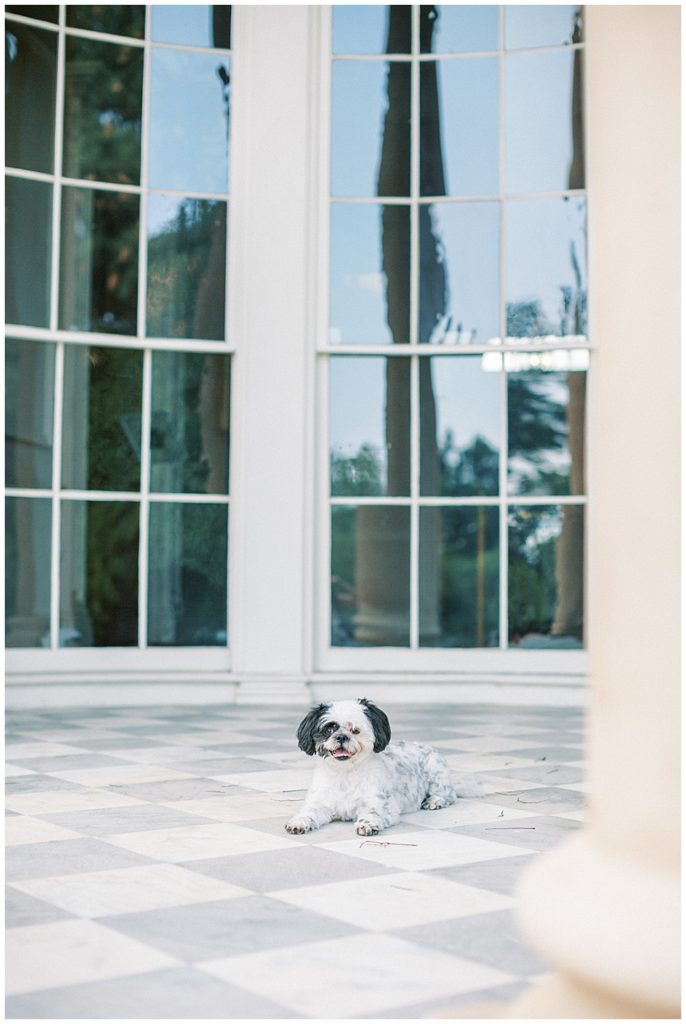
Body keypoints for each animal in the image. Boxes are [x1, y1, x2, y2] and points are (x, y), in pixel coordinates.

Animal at [282, 700, 470, 835]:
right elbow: (309, 812)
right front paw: (299, 822)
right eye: (329, 729)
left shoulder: (382, 805)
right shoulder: (320, 803)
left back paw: (434, 801)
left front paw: (367, 824)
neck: (345, 773)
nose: (341, 736)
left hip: (436, 771)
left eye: (355, 730)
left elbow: (373, 812)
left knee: (449, 794)